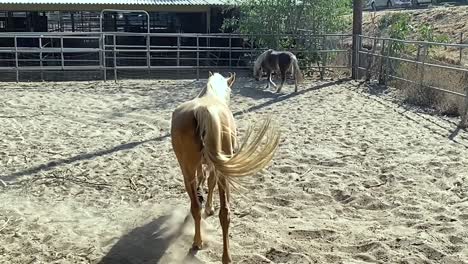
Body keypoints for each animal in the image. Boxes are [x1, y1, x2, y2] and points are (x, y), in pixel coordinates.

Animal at [172, 71, 282, 262]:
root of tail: (202, 110)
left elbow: (204, 181)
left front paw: (204, 201)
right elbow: (210, 183)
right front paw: (209, 207)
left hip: (187, 170)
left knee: (195, 207)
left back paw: (197, 241)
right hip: (223, 173)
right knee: (225, 213)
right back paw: (226, 257)